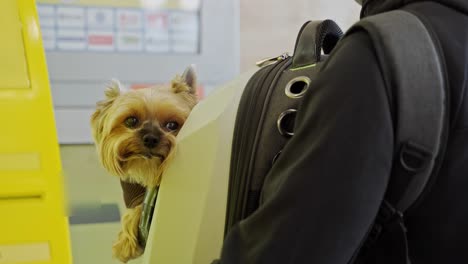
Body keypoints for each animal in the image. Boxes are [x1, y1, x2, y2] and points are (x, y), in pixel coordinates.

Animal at [91, 65, 197, 262]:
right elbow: (133, 210)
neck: (146, 169)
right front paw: (125, 244)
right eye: (131, 121)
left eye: (172, 125)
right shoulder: (131, 191)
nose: (150, 138)